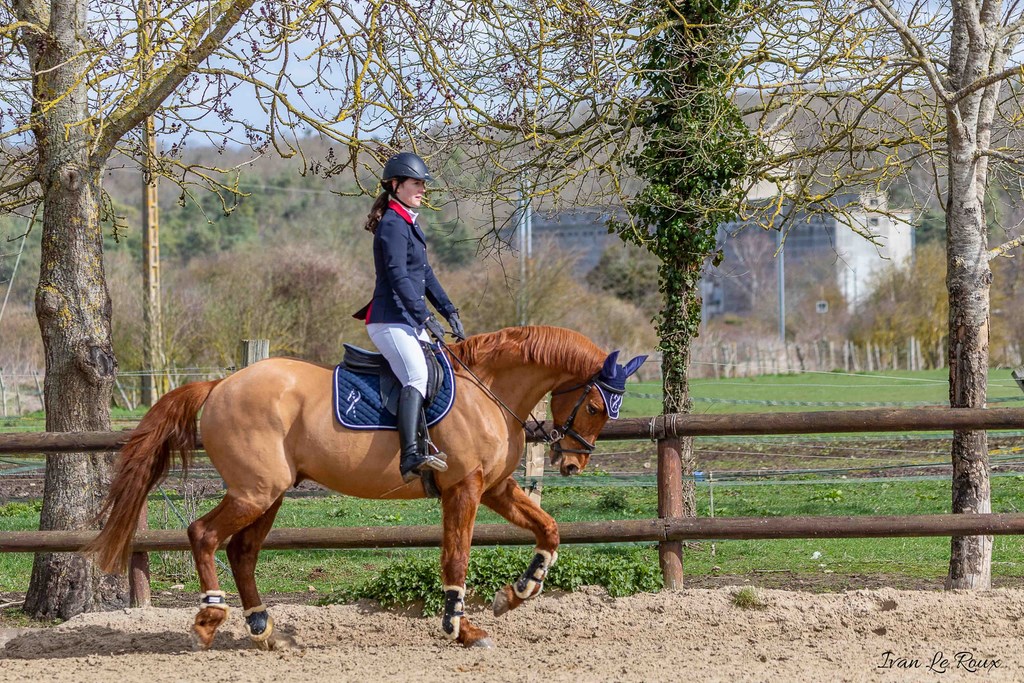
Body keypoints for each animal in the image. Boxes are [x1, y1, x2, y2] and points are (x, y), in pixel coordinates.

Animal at [90, 327, 647, 651]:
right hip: (255, 491)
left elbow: (549, 530)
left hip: (270, 494)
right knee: (204, 534)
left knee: (242, 551)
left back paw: (262, 627)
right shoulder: (464, 490)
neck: (488, 388)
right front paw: (460, 628)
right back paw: (210, 617)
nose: (572, 463)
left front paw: (517, 593)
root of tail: (222, 383)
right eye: (595, 406)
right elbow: (457, 557)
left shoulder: (495, 488)